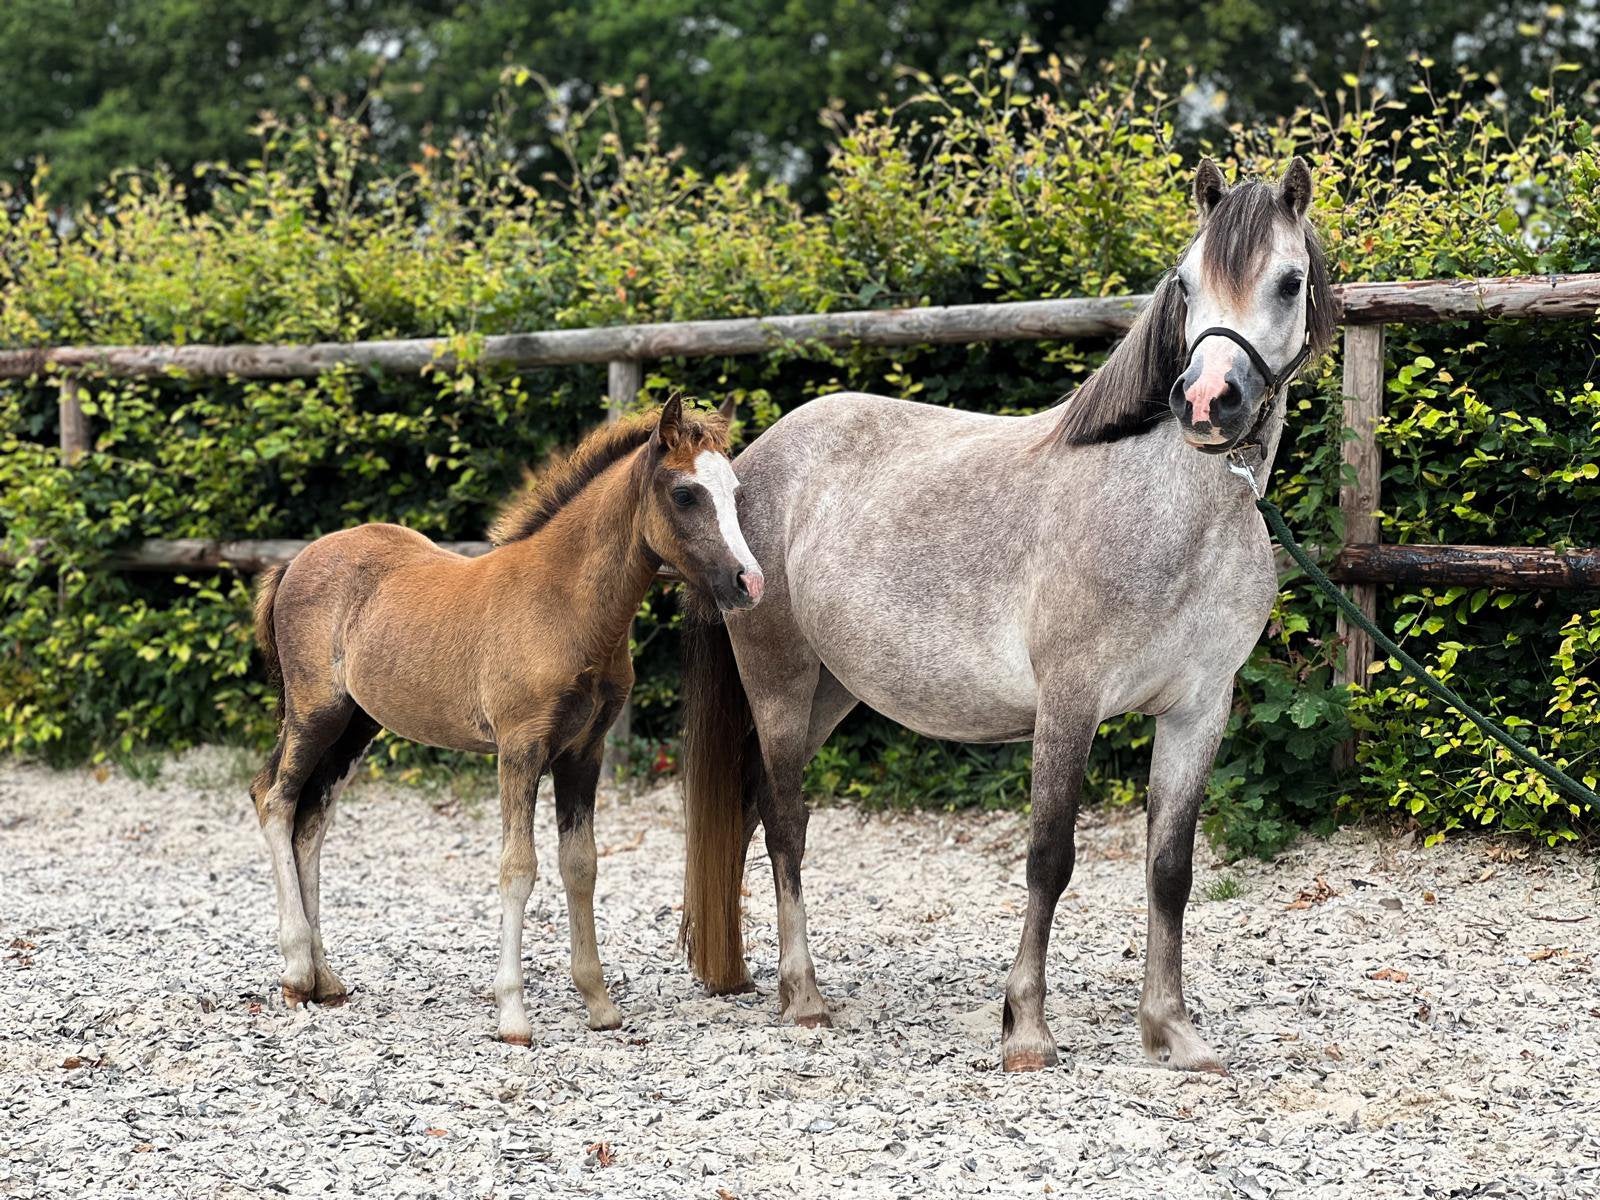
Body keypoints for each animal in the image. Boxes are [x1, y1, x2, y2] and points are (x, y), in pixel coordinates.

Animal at [249, 396, 763, 1044]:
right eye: (685, 494)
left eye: (736, 491)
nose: (750, 582)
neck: (565, 605)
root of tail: (296, 560)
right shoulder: (520, 748)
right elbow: (518, 867)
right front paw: (513, 1014)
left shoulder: (584, 752)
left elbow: (580, 865)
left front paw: (599, 1004)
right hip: (315, 712)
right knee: (275, 799)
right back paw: (296, 972)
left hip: (355, 726)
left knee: (312, 820)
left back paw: (326, 980)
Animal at [677, 158, 1336, 1072]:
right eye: (1186, 282)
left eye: (1289, 281)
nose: (1209, 402)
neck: (1171, 514)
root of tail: (749, 466)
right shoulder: (1069, 703)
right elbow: (1049, 858)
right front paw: (1026, 1027)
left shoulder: (1200, 710)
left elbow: (1170, 868)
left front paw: (1172, 1030)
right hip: (779, 684)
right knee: (785, 822)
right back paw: (804, 997)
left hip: (830, 694)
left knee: (751, 809)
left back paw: (754, 976)